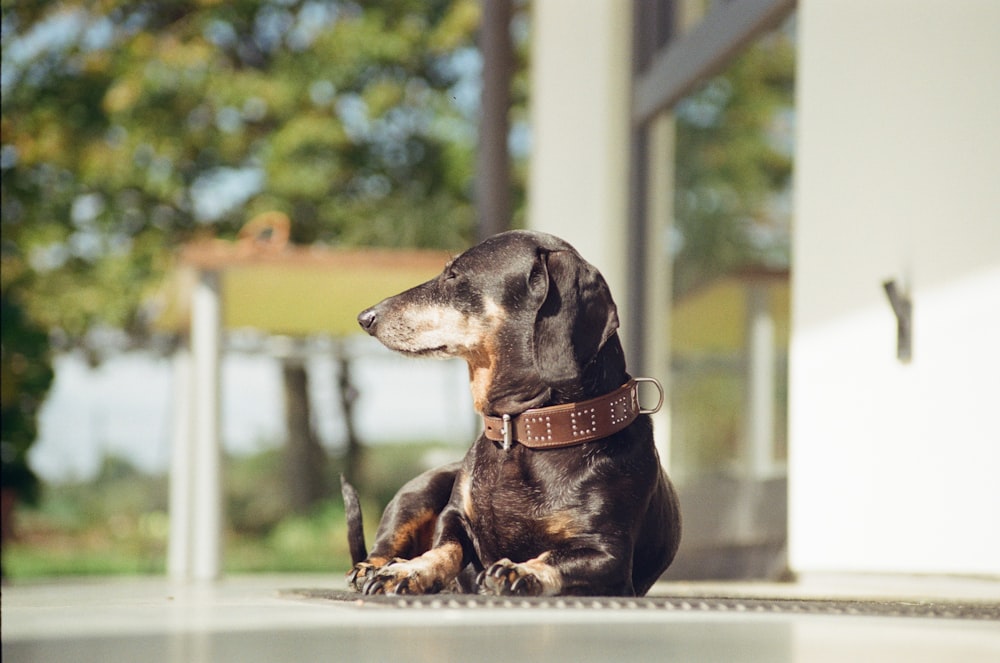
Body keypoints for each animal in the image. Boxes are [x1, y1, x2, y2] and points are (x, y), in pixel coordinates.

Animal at [344, 231, 680, 600]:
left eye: (454, 275)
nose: (365, 317)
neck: (525, 432)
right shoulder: (454, 517)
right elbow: (444, 548)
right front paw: (409, 570)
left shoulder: (610, 558)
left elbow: (559, 559)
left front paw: (521, 571)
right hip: (418, 493)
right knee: (383, 547)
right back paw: (372, 567)